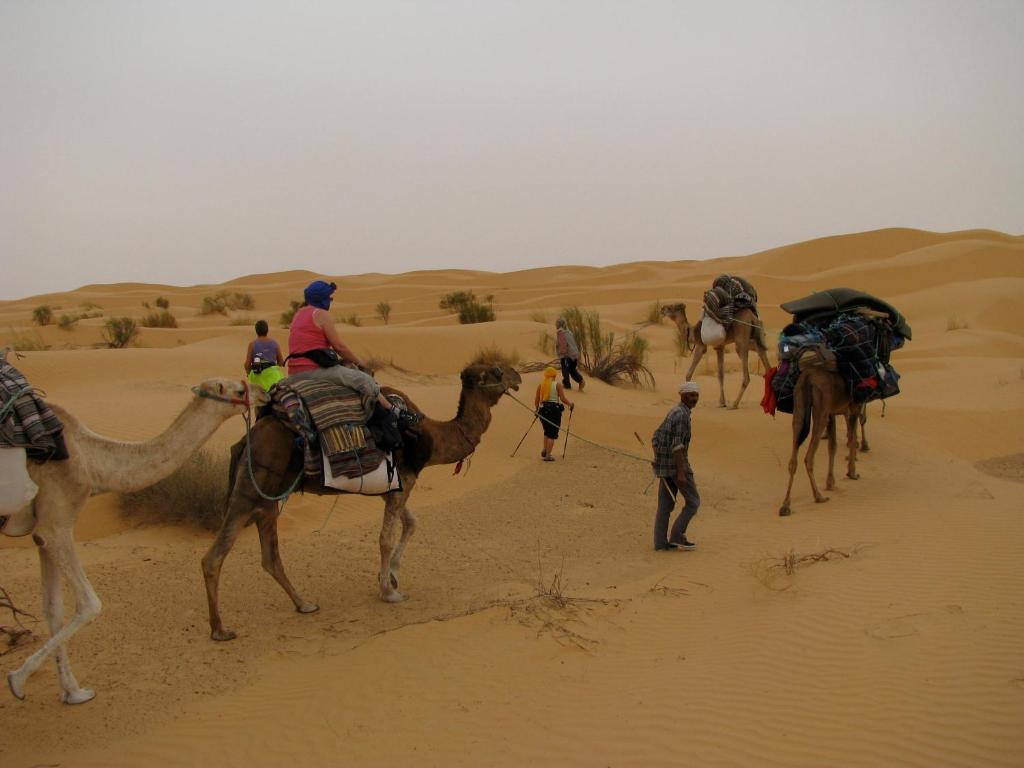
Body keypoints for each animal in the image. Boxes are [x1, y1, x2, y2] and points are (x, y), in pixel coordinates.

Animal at [201, 364, 520, 638]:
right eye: (497, 371)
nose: (518, 377)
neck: (430, 436)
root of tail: (249, 438)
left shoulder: (393, 487)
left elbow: (412, 523)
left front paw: (391, 575)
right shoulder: (404, 479)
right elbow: (386, 538)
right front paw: (390, 592)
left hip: (269, 496)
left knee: (269, 556)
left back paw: (304, 604)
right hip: (252, 488)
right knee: (215, 556)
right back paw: (220, 629)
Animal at [774, 364, 864, 518]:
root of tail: (807, 378)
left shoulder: (832, 412)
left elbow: (832, 446)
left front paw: (830, 482)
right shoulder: (854, 406)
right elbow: (852, 439)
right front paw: (852, 473)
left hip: (799, 406)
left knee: (793, 459)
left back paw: (786, 505)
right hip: (820, 409)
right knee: (808, 457)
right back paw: (818, 496)